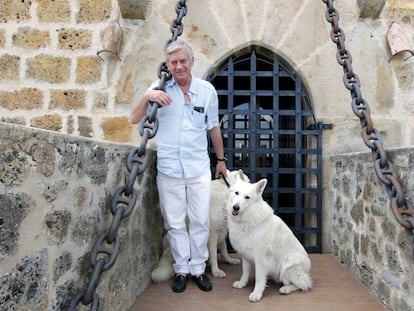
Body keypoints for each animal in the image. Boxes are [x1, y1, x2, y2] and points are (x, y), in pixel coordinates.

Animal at [228, 173, 312, 302]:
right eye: (236, 193)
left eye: (247, 197)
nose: (235, 207)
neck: (247, 219)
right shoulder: (245, 255)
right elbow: (245, 272)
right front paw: (242, 283)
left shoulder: (260, 258)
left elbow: (259, 278)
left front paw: (257, 294)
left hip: (288, 263)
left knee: (304, 284)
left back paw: (286, 289)